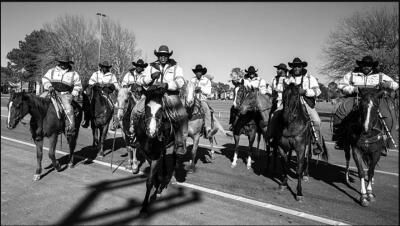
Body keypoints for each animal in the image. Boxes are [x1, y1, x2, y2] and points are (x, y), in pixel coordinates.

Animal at [134, 83, 177, 215]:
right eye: (146, 108)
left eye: (161, 109)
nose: (152, 131)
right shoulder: (148, 155)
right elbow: (154, 176)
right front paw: (157, 186)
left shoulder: (156, 156)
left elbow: (149, 181)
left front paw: (144, 207)